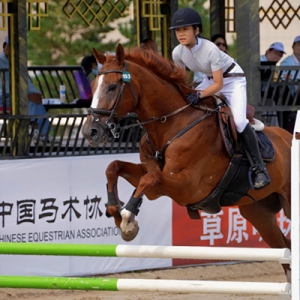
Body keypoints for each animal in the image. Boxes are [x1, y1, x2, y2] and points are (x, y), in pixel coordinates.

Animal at [81, 44, 290, 282]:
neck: (170, 125)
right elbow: (114, 167)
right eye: (93, 86)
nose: (89, 132)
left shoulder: (187, 187)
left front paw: (127, 221)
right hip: (257, 211)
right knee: (284, 248)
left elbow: (148, 180)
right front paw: (115, 210)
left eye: (113, 87)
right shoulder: (156, 176)